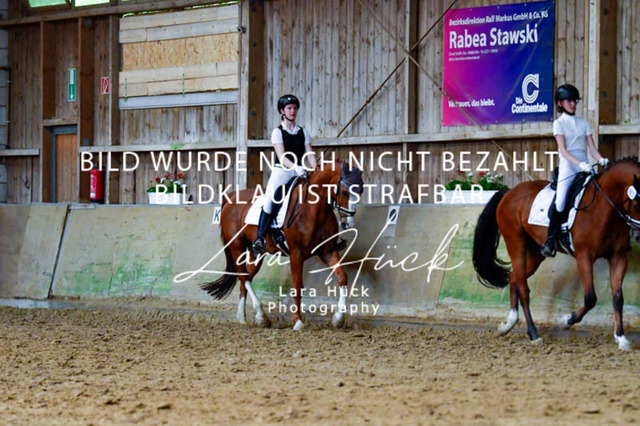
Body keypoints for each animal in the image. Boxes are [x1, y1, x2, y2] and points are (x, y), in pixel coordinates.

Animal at [201, 160, 364, 330]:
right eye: (344, 192)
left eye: (361, 191)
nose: (348, 223)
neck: (313, 210)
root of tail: (232, 196)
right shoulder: (296, 254)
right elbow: (297, 286)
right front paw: (298, 321)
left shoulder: (328, 252)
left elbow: (342, 277)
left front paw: (338, 318)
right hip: (236, 247)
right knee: (244, 276)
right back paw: (260, 315)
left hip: (256, 253)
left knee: (246, 279)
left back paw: (245, 317)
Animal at [473, 158, 640, 350]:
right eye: (638, 203)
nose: (638, 236)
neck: (604, 209)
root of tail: (509, 192)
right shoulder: (584, 256)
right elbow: (590, 297)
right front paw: (567, 320)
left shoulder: (618, 257)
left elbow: (618, 297)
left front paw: (621, 338)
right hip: (515, 243)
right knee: (523, 288)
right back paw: (533, 334)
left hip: (536, 252)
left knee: (514, 277)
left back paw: (509, 323)